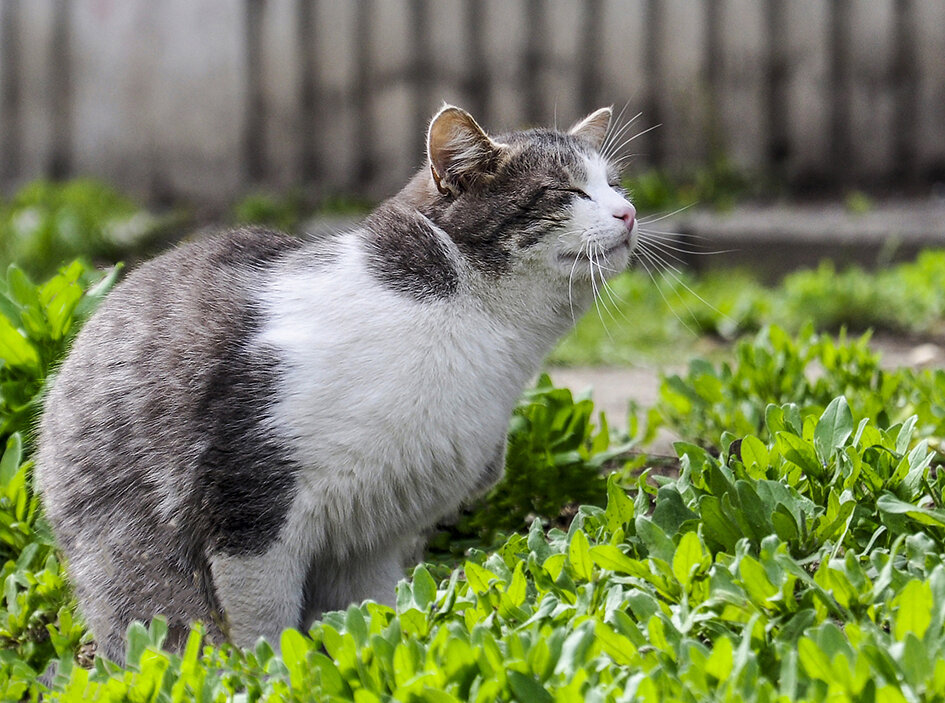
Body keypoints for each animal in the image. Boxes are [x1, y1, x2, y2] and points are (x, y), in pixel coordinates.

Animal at [37, 103, 640, 660]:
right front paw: (268, 674)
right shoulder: (250, 502)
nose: (629, 211)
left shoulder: (372, 535)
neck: (484, 334)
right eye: (564, 191)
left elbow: (370, 613)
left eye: (613, 183)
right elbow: (262, 622)